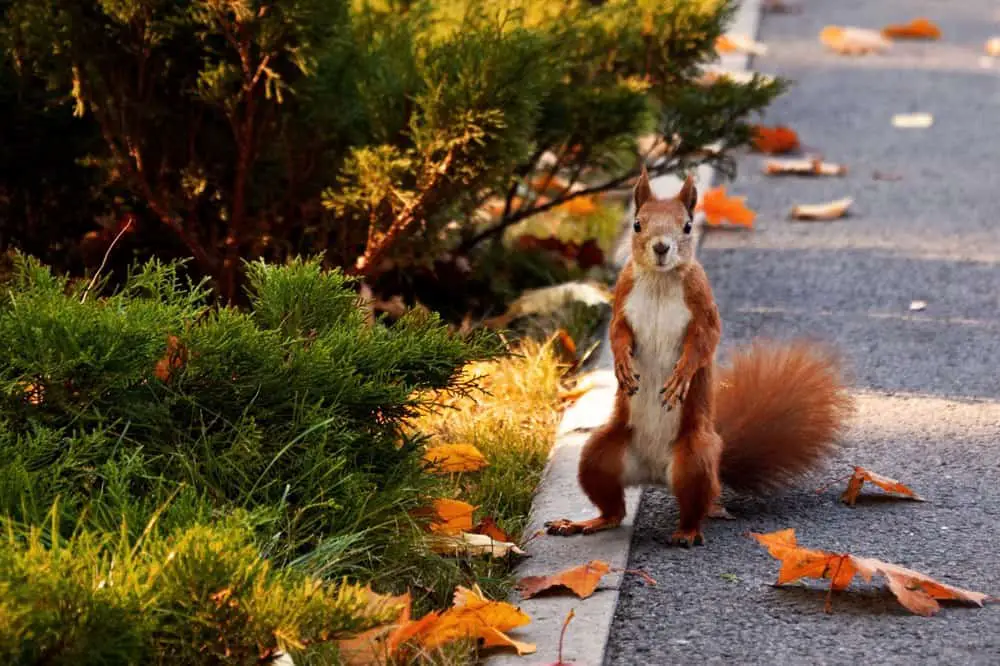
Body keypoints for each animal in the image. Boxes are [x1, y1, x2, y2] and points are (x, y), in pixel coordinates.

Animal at [545, 167, 855, 546]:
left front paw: (681, 376)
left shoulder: (703, 307)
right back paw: (584, 523)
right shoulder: (622, 299)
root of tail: (653, 473)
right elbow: (618, 334)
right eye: (637, 224)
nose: (661, 247)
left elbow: (703, 343)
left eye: (688, 226)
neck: (660, 280)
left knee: (695, 504)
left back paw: (686, 532)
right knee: (613, 509)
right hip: (599, 454)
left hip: (694, 458)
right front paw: (622, 365)